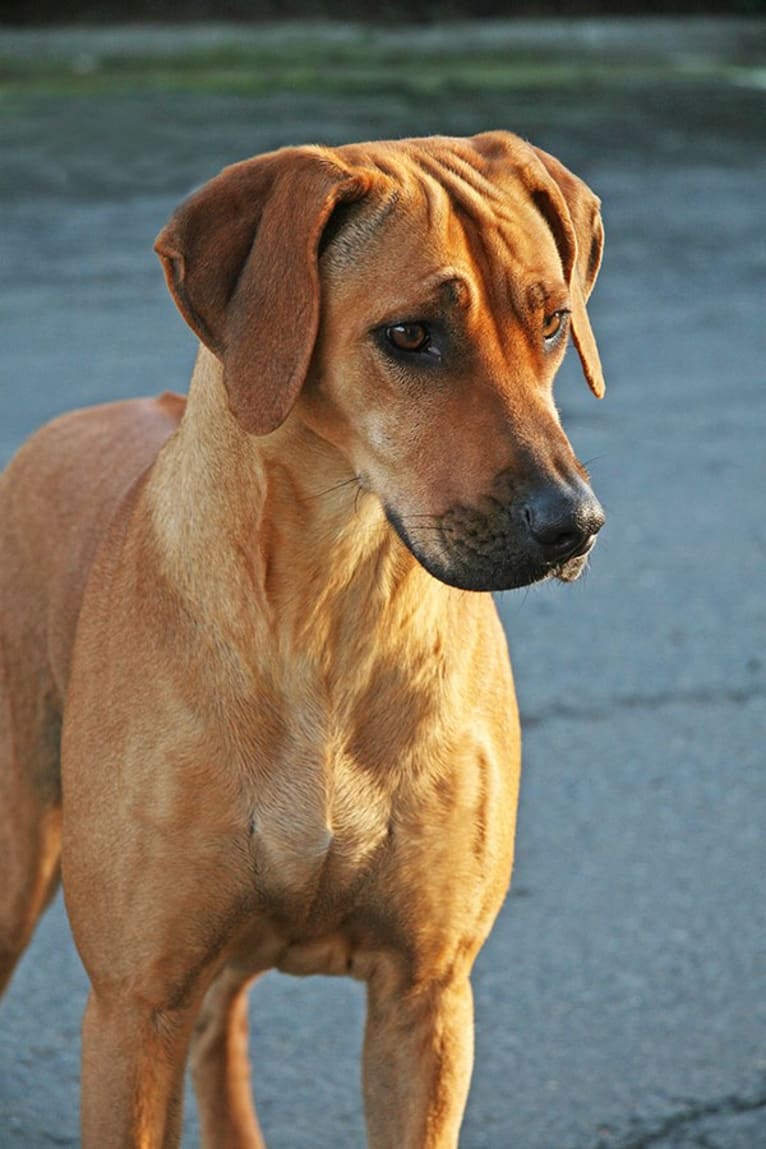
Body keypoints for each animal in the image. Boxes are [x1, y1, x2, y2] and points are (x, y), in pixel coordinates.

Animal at [0, 130, 606, 1144]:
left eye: (555, 321)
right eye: (410, 336)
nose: (573, 524)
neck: (331, 607)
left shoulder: (425, 995)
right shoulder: (134, 1003)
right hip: (18, 859)